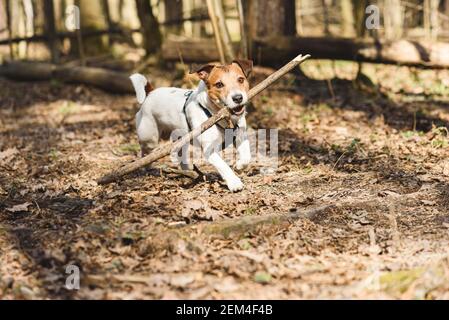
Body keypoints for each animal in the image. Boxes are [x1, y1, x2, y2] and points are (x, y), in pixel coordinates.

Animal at [131, 59, 254, 191]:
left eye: (240, 79)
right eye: (219, 85)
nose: (238, 98)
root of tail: (151, 93)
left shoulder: (241, 136)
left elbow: (247, 157)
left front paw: (240, 165)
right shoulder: (209, 150)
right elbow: (223, 165)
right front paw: (234, 182)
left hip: (181, 139)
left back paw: (188, 171)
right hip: (149, 139)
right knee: (145, 154)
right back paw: (147, 168)